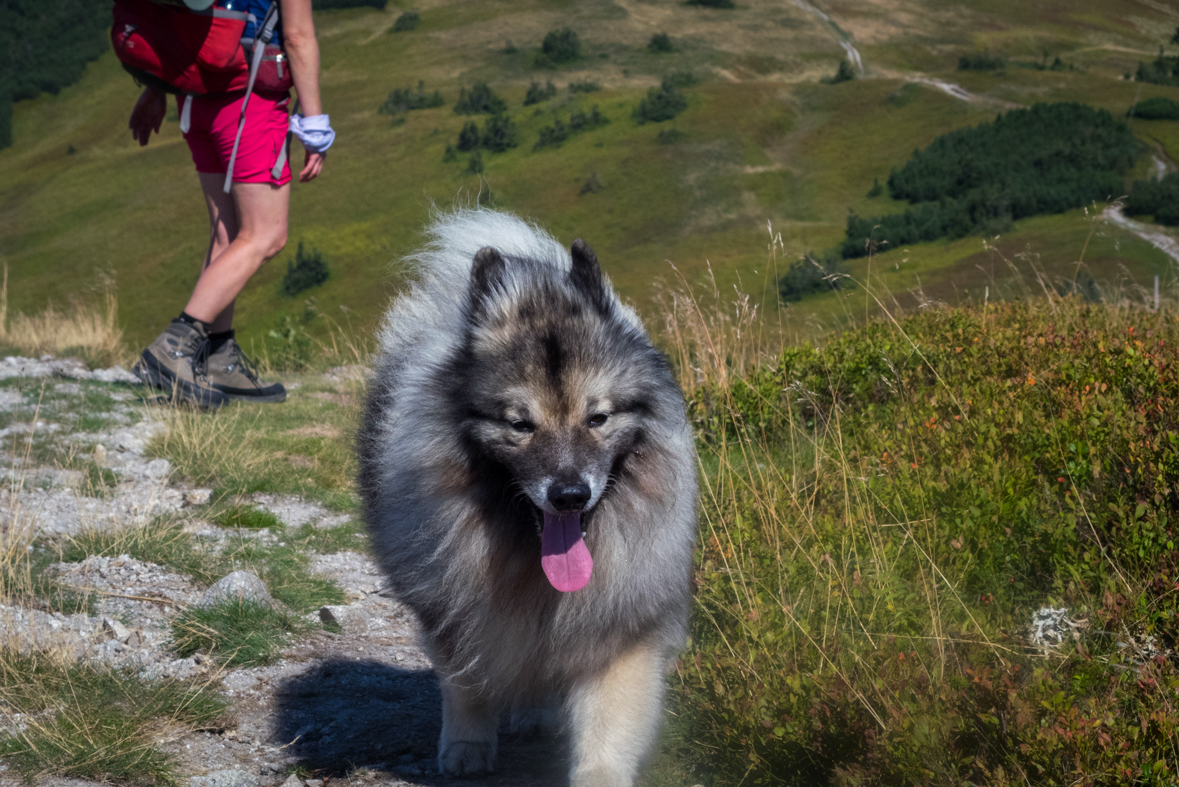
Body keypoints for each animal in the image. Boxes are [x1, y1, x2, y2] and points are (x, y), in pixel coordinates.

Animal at [353, 208, 693, 787]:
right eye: (520, 425)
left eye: (597, 418)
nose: (570, 495)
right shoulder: (456, 610)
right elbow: (465, 684)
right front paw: (466, 747)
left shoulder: (620, 625)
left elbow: (608, 721)